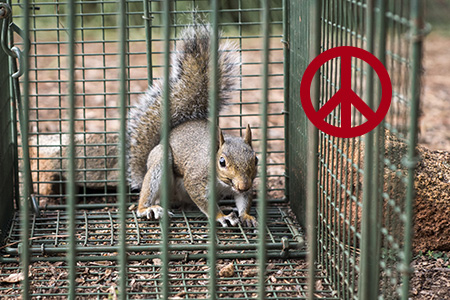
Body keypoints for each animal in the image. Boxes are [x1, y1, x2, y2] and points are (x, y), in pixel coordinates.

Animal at [126, 24, 258, 226]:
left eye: (256, 159)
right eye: (222, 162)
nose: (243, 185)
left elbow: (244, 199)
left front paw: (245, 215)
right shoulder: (196, 178)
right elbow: (200, 195)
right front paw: (221, 217)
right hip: (159, 164)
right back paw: (148, 208)